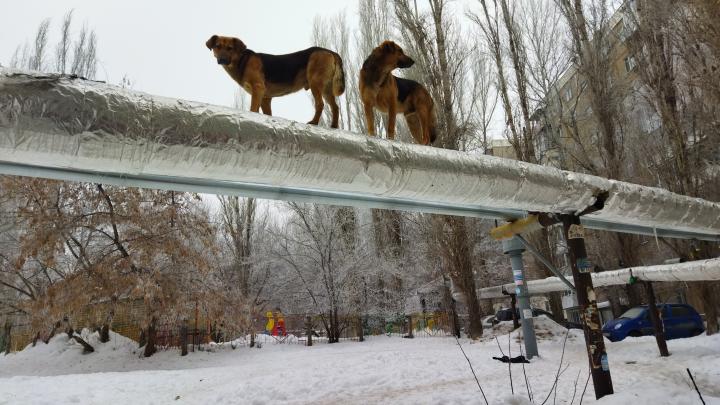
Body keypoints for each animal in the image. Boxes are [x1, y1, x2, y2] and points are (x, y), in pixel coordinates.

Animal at [205, 36, 346, 129]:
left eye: (230, 48)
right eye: (217, 46)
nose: (222, 59)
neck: (242, 60)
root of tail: (331, 52)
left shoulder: (258, 89)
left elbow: (253, 110)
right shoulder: (265, 98)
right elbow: (267, 114)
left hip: (315, 83)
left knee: (320, 104)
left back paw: (314, 122)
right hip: (327, 89)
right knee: (335, 107)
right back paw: (334, 126)